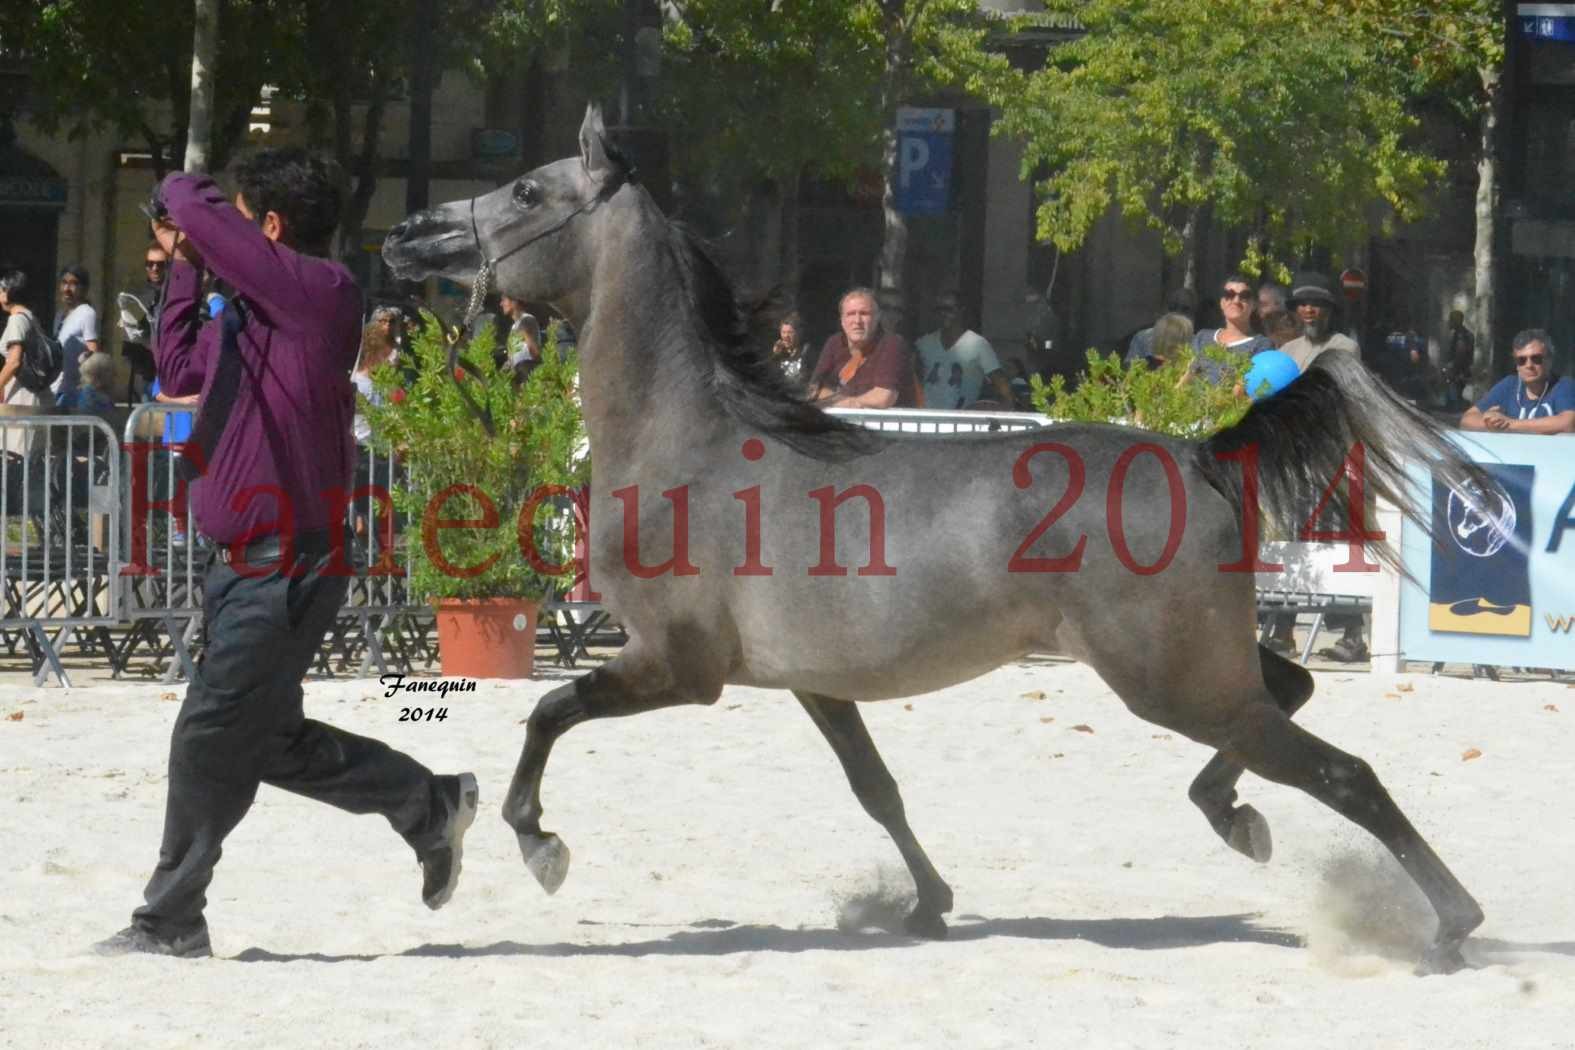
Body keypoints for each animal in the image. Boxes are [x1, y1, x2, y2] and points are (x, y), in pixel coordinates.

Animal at [387, 102, 1493, 976]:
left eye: (527, 192)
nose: (406, 237)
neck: (691, 445)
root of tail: (1200, 454)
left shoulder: (678, 667)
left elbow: (547, 715)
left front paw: (539, 846)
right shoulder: (816, 683)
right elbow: (875, 787)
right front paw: (926, 905)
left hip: (1167, 679)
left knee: (1341, 772)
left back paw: (1449, 925)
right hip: (1198, 668)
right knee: (1286, 699)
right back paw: (1235, 815)